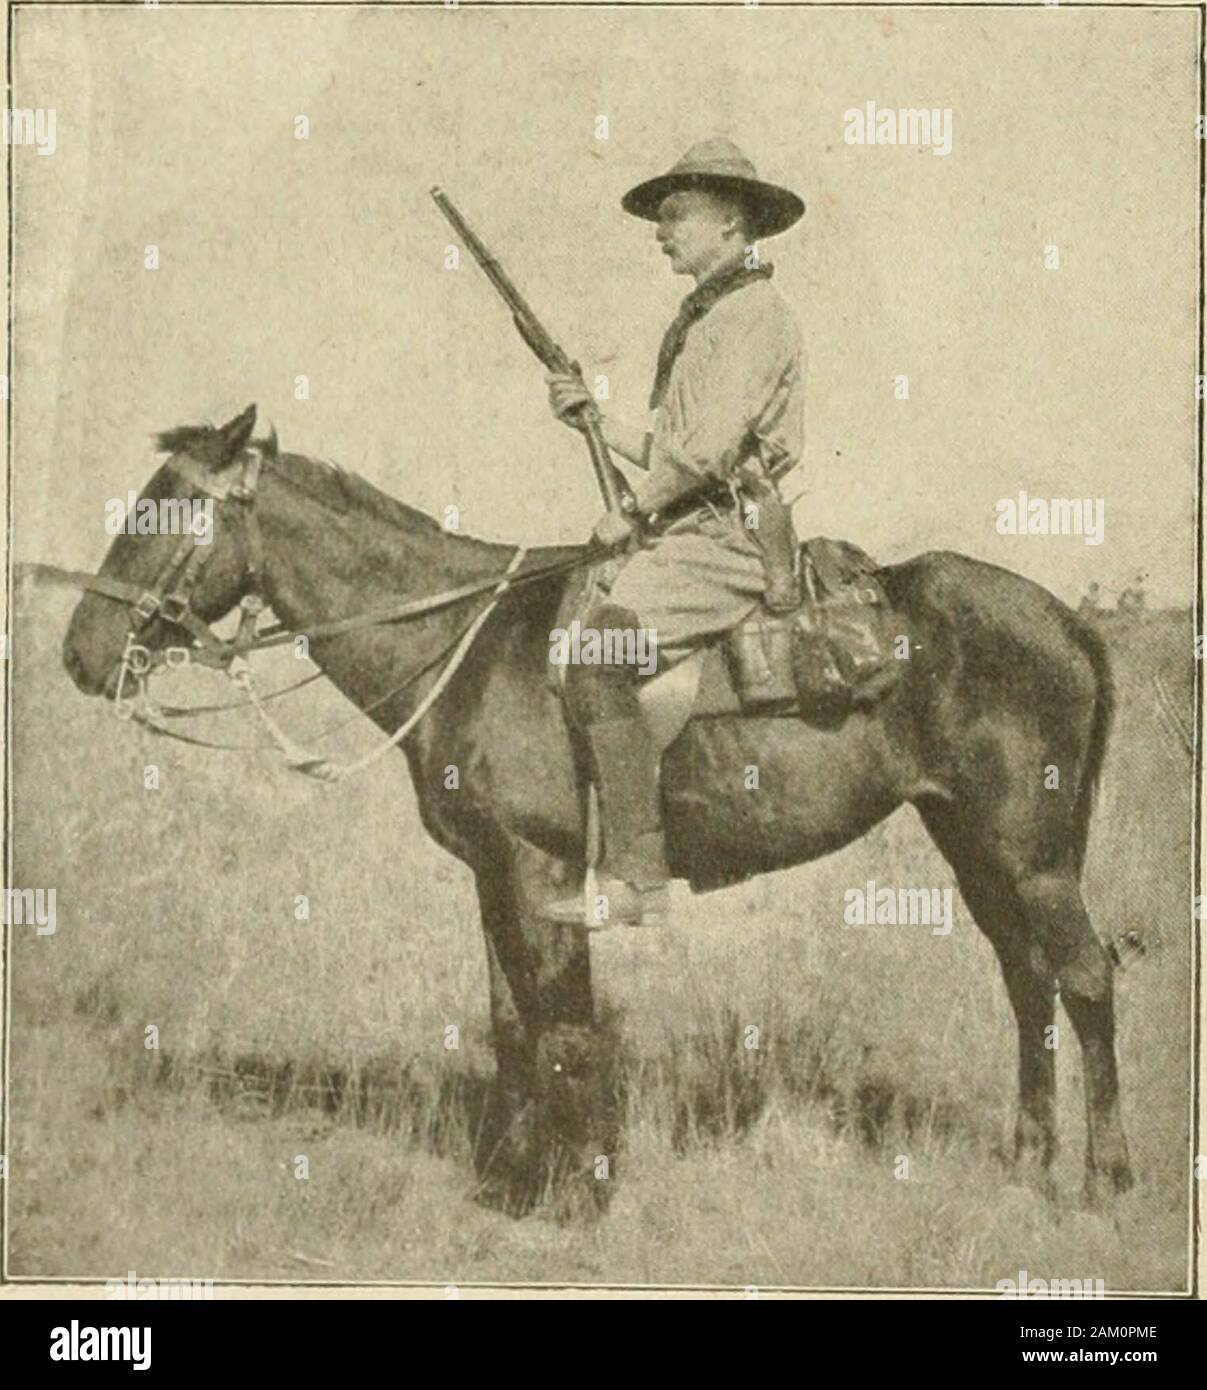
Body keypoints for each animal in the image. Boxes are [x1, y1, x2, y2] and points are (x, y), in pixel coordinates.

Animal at [59, 405, 1129, 1217]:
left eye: (166, 508)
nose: (81, 650)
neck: (467, 639)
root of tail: (1067, 620)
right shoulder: (496, 874)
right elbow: (510, 1022)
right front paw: (511, 1180)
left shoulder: (541, 870)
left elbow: (562, 1025)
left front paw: (575, 1191)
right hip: (972, 847)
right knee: (1025, 983)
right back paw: (1025, 1161)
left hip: (1028, 855)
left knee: (1081, 979)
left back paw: (1103, 1180)